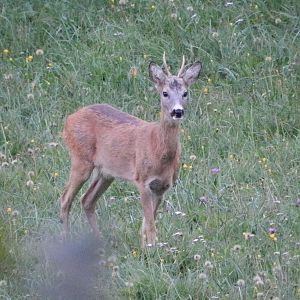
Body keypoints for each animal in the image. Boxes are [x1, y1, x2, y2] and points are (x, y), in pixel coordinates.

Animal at [59, 53, 202, 246]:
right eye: (165, 93)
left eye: (185, 93)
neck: (158, 150)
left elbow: (147, 223)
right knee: (65, 199)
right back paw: (66, 240)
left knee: (87, 200)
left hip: (106, 172)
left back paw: (99, 242)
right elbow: (150, 225)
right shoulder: (142, 180)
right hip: (80, 160)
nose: (177, 111)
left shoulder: (162, 186)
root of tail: (68, 120)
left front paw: (145, 247)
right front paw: (152, 249)